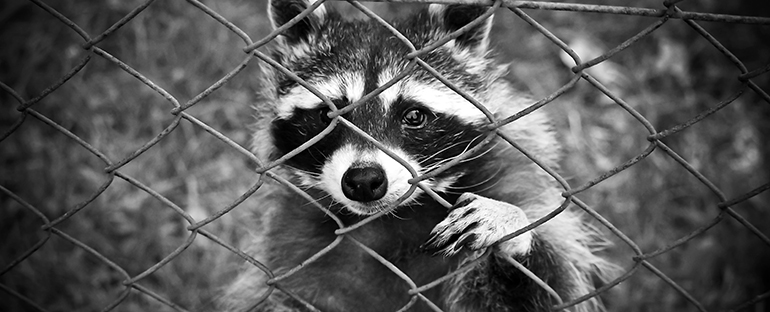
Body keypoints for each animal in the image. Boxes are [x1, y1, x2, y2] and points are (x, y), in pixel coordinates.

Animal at [220, 0, 612, 312]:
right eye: (327, 115)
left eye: (413, 116)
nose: (364, 181)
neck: (393, 220)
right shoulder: (291, 247)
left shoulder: (516, 180)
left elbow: (550, 289)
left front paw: (511, 227)